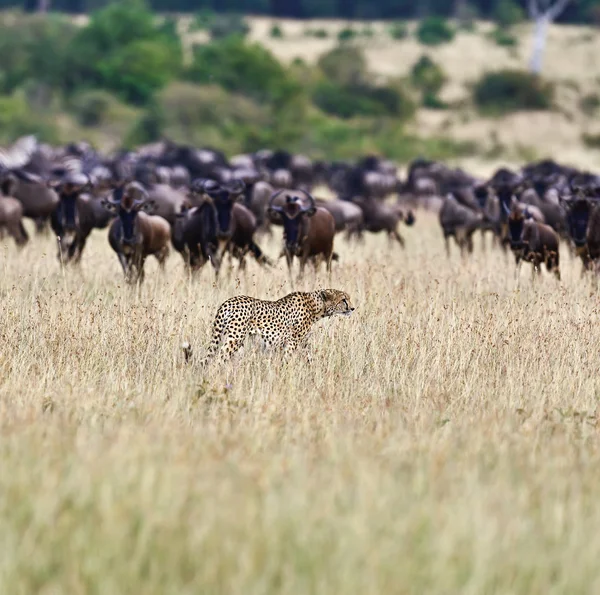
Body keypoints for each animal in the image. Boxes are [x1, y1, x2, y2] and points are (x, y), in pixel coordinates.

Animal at [185, 288, 354, 364]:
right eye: (343, 300)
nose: (353, 308)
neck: (316, 306)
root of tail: (228, 301)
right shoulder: (292, 342)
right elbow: (287, 358)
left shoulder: (301, 343)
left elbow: (309, 357)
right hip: (235, 338)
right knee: (220, 357)